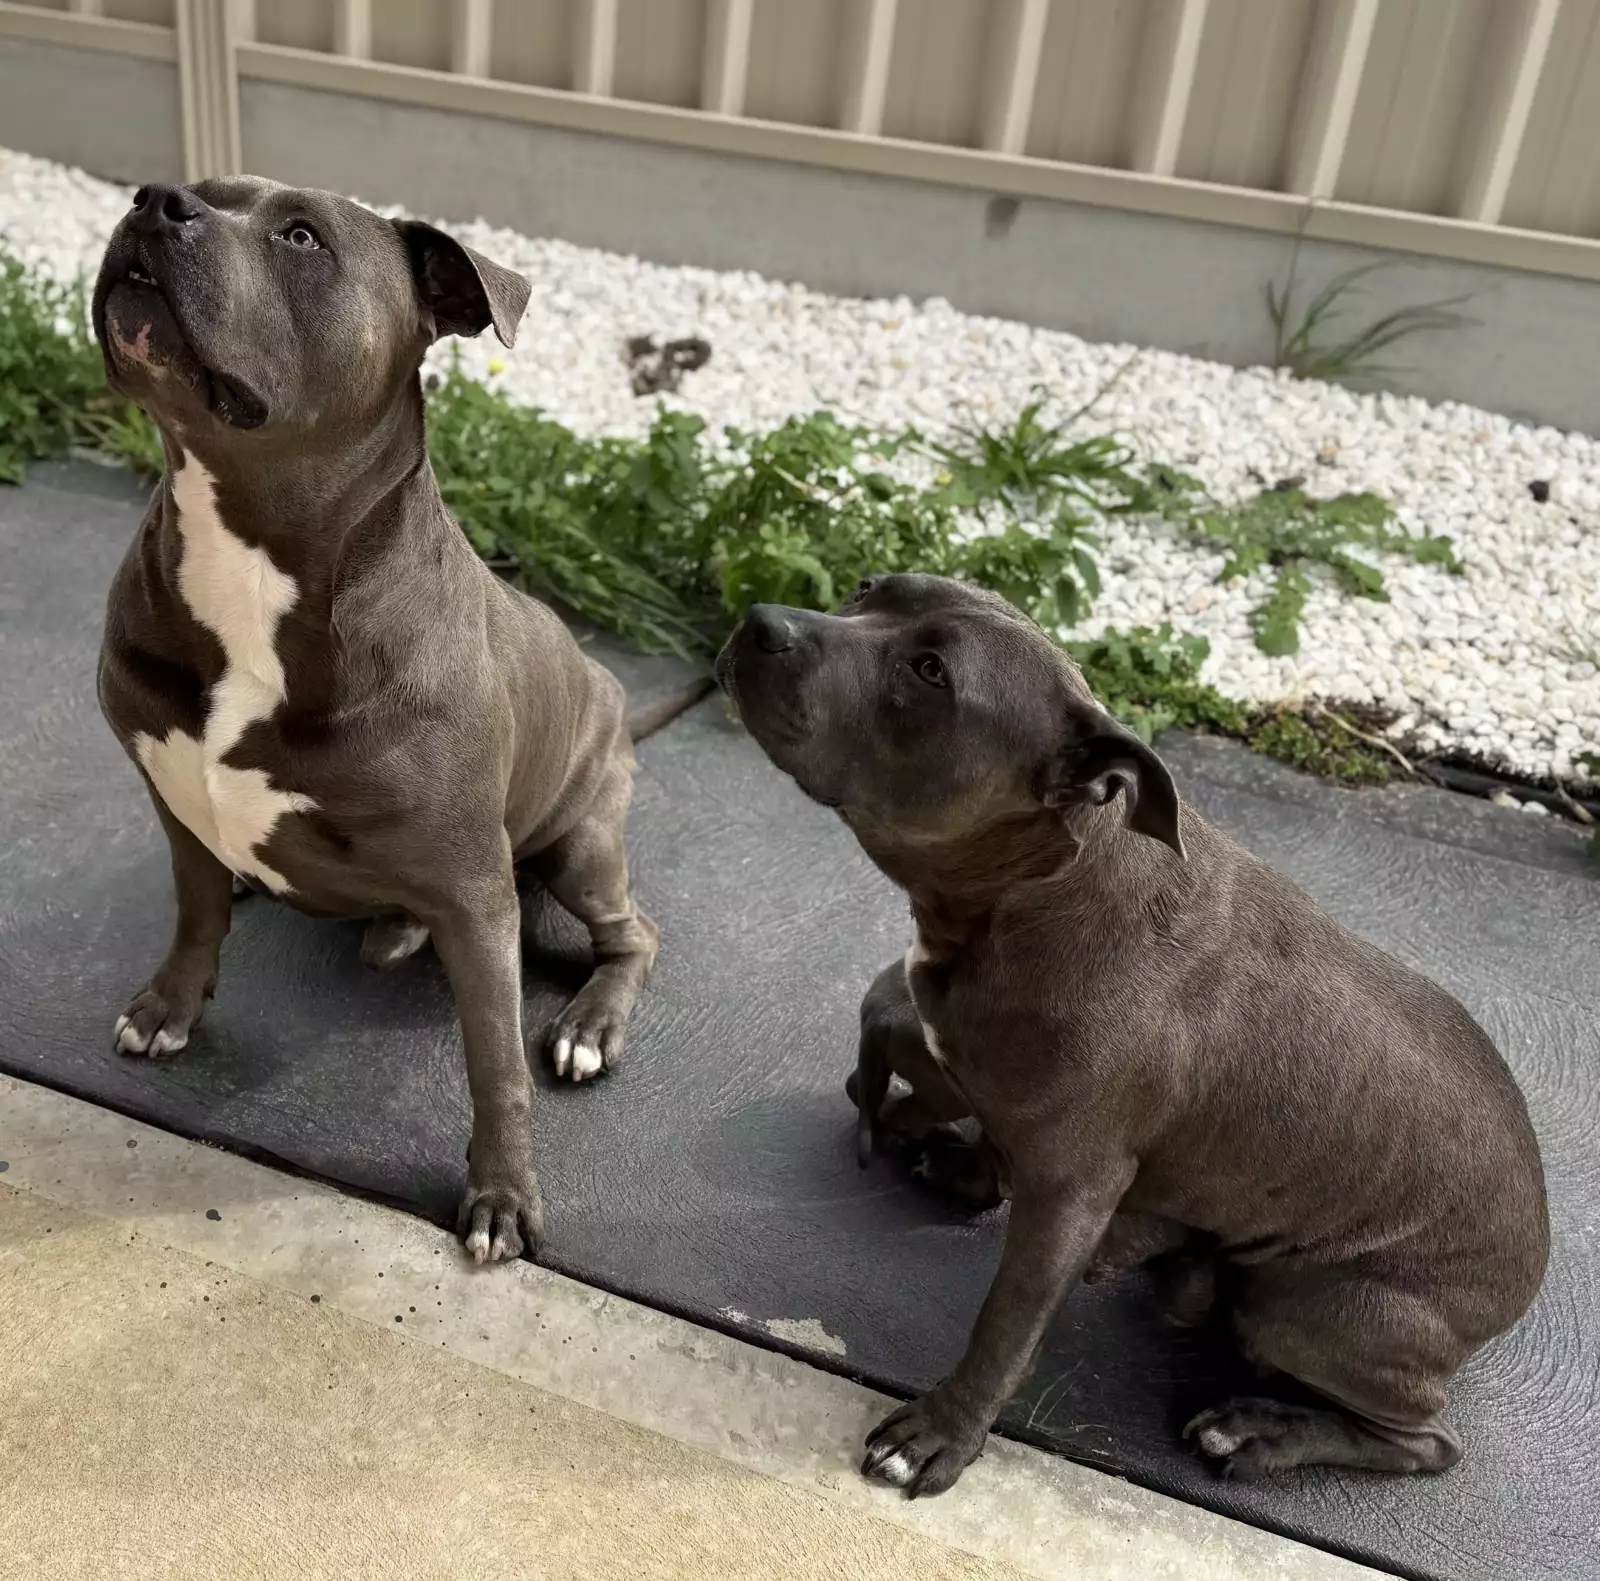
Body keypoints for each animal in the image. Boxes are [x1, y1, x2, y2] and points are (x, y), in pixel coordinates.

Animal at [93, 179, 664, 1264]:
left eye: (301, 236)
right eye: (205, 192)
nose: (157, 200)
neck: (250, 555)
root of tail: (611, 691)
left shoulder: (475, 895)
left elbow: (494, 1064)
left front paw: (502, 1196)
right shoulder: (173, 797)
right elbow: (193, 914)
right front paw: (169, 1005)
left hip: (581, 840)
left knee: (633, 934)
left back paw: (588, 1024)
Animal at [716, 572, 1548, 1496]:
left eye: (932, 672)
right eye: (871, 589)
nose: (761, 621)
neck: (1044, 892)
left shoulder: (1075, 1192)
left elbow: (1003, 1328)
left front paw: (942, 1433)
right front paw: (950, 1151)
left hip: (1315, 1311)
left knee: (1425, 1441)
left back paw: (1260, 1430)